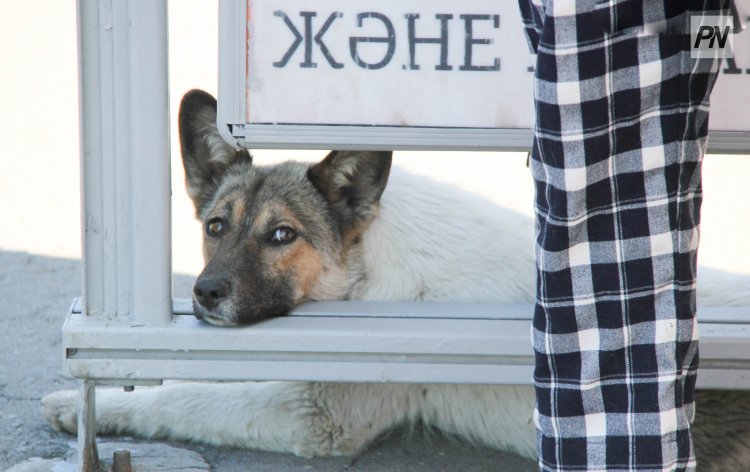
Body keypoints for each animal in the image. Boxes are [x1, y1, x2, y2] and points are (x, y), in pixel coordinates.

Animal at [42, 90, 750, 470]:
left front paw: (94, 406)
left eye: (282, 236)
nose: (203, 295)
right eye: (216, 226)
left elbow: (189, 398)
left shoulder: (316, 415)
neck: (371, 264)